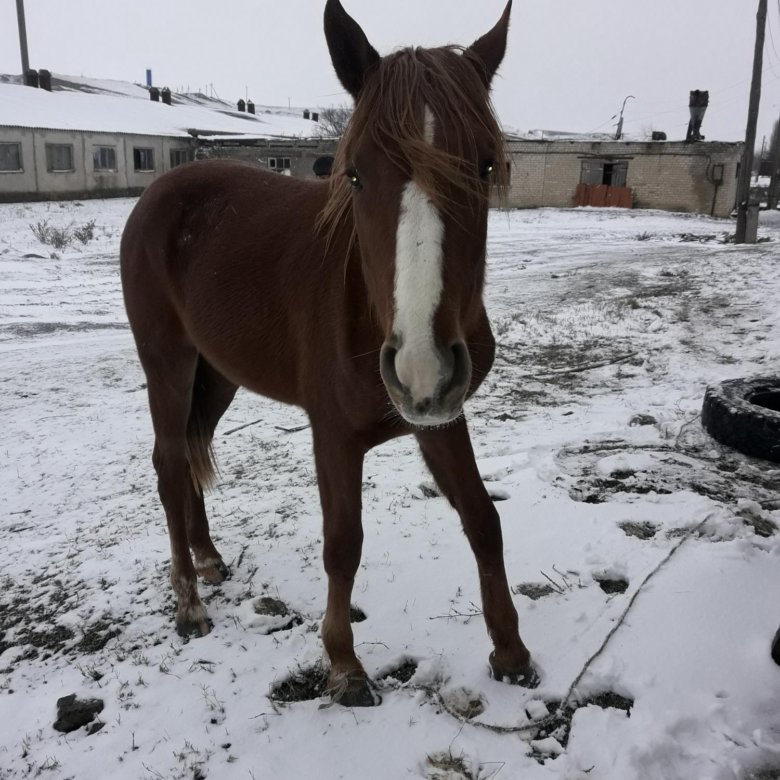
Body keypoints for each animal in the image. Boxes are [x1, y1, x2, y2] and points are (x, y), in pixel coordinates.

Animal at [122, 0, 536, 708]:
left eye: (484, 166)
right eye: (355, 173)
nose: (420, 362)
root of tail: (159, 190)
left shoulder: (440, 416)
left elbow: (484, 519)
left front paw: (510, 651)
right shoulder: (334, 436)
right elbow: (343, 543)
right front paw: (344, 665)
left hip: (219, 373)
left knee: (194, 448)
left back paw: (208, 558)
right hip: (168, 365)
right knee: (171, 465)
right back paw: (188, 603)